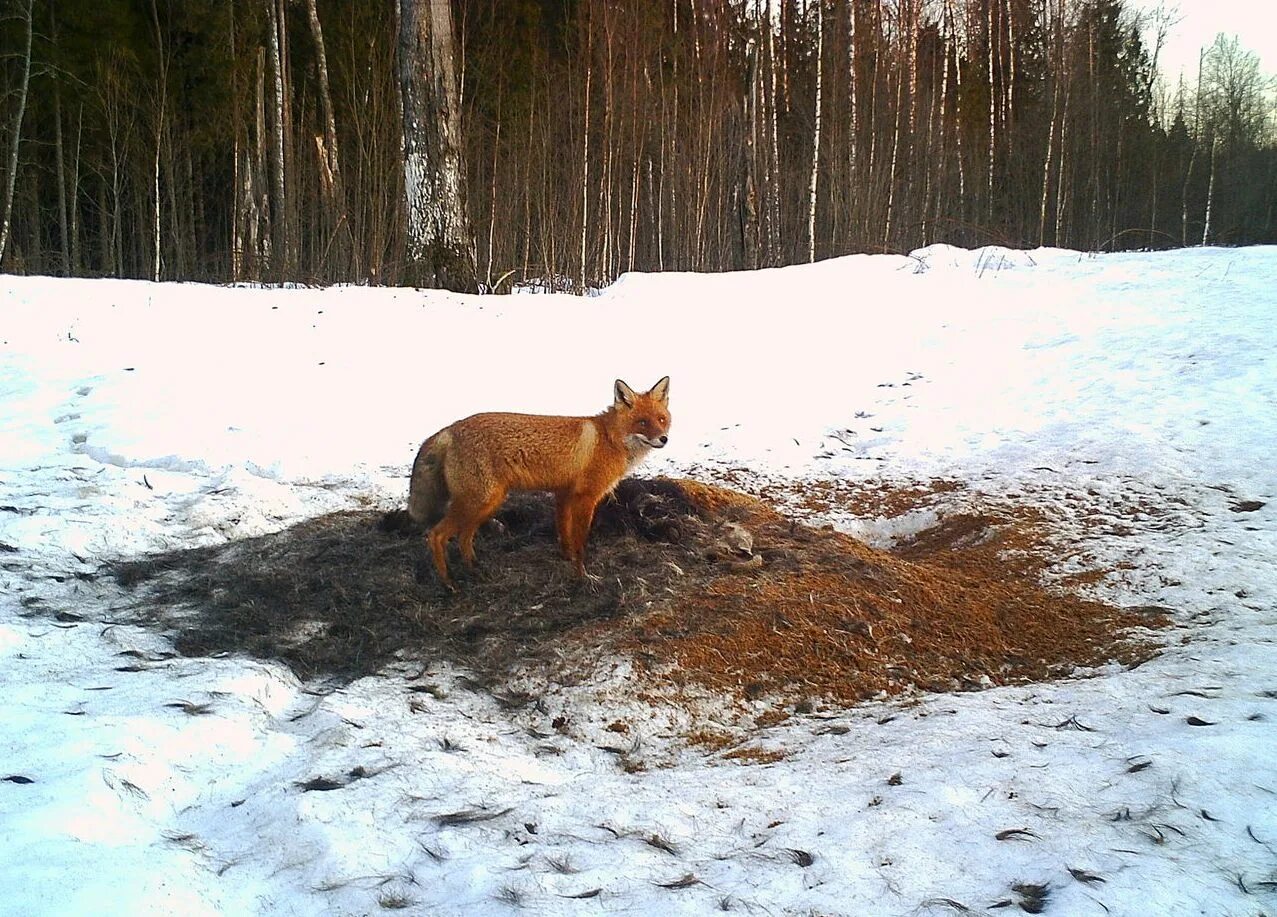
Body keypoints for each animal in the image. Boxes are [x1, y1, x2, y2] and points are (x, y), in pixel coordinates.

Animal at [406, 378, 669, 590]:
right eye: (642, 422)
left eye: (662, 419)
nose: (664, 439)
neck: (608, 438)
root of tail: (450, 428)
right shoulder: (586, 497)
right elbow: (580, 542)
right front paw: (583, 577)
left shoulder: (563, 493)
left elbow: (564, 533)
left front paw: (567, 560)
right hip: (478, 501)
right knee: (436, 535)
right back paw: (448, 584)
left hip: (487, 503)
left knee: (464, 537)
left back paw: (476, 570)